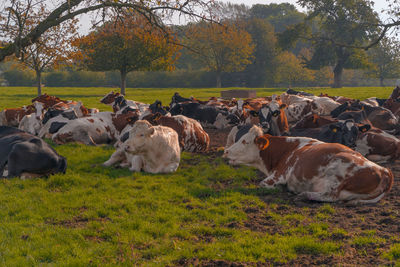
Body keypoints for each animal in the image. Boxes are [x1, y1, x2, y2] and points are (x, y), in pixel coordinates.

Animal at [222, 125, 394, 205]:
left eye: (244, 141)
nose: (226, 151)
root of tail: (384, 171)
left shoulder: (278, 175)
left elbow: (263, 184)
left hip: (337, 170)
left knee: (330, 196)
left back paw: (303, 195)